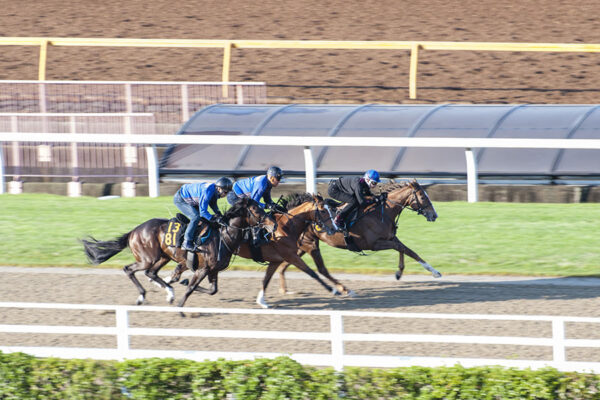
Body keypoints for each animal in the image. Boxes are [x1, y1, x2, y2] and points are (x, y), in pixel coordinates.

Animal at [81, 198, 276, 308]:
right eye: (256, 210)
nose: (273, 224)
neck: (223, 236)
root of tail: (133, 231)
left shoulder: (213, 270)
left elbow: (212, 290)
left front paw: (182, 282)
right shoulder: (203, 269)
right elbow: (192, 288)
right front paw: (183, 298)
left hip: (163, 257)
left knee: (151, 272)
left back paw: (170, 293)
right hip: (148, 258)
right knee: (130, 269)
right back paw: (142, 296)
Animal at [165, 192, 352, 308]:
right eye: (323, 211)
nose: (335, 228)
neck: (285, 227)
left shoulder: (276, 260)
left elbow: (266, 280)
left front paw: (262, 301)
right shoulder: (290, 255)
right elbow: (312, 272)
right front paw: (334, 289)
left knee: (183, 265)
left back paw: (174, 280)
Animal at [276, 179, 440, 294]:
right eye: (422, 197)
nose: (434, 215)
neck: (382, 212)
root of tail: (290, 212)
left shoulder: (391, 238)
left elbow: (408, 250)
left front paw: (433, 272)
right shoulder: (374, 244)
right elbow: (401, 248)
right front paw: (401, 272)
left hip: (301, 245)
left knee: (284, 264)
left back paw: (284, 289)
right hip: (309, 244)